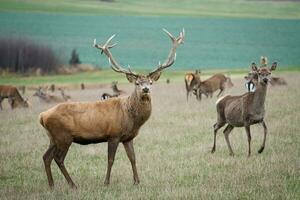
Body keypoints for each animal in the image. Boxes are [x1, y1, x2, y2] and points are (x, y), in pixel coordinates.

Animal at [39, 28, 184, 189]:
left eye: (150, 82)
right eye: (137, 83)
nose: (145, 89)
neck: (131, 118)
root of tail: (42, 116)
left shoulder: (128, 137)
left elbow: (133, 158)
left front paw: (137, 181)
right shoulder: (113, 135)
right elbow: (111, 160)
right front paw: (106, 182)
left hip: (53, 137)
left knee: (46, 157)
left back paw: (52, 185)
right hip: (63, 136)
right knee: (58, 158)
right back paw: (72, 185)